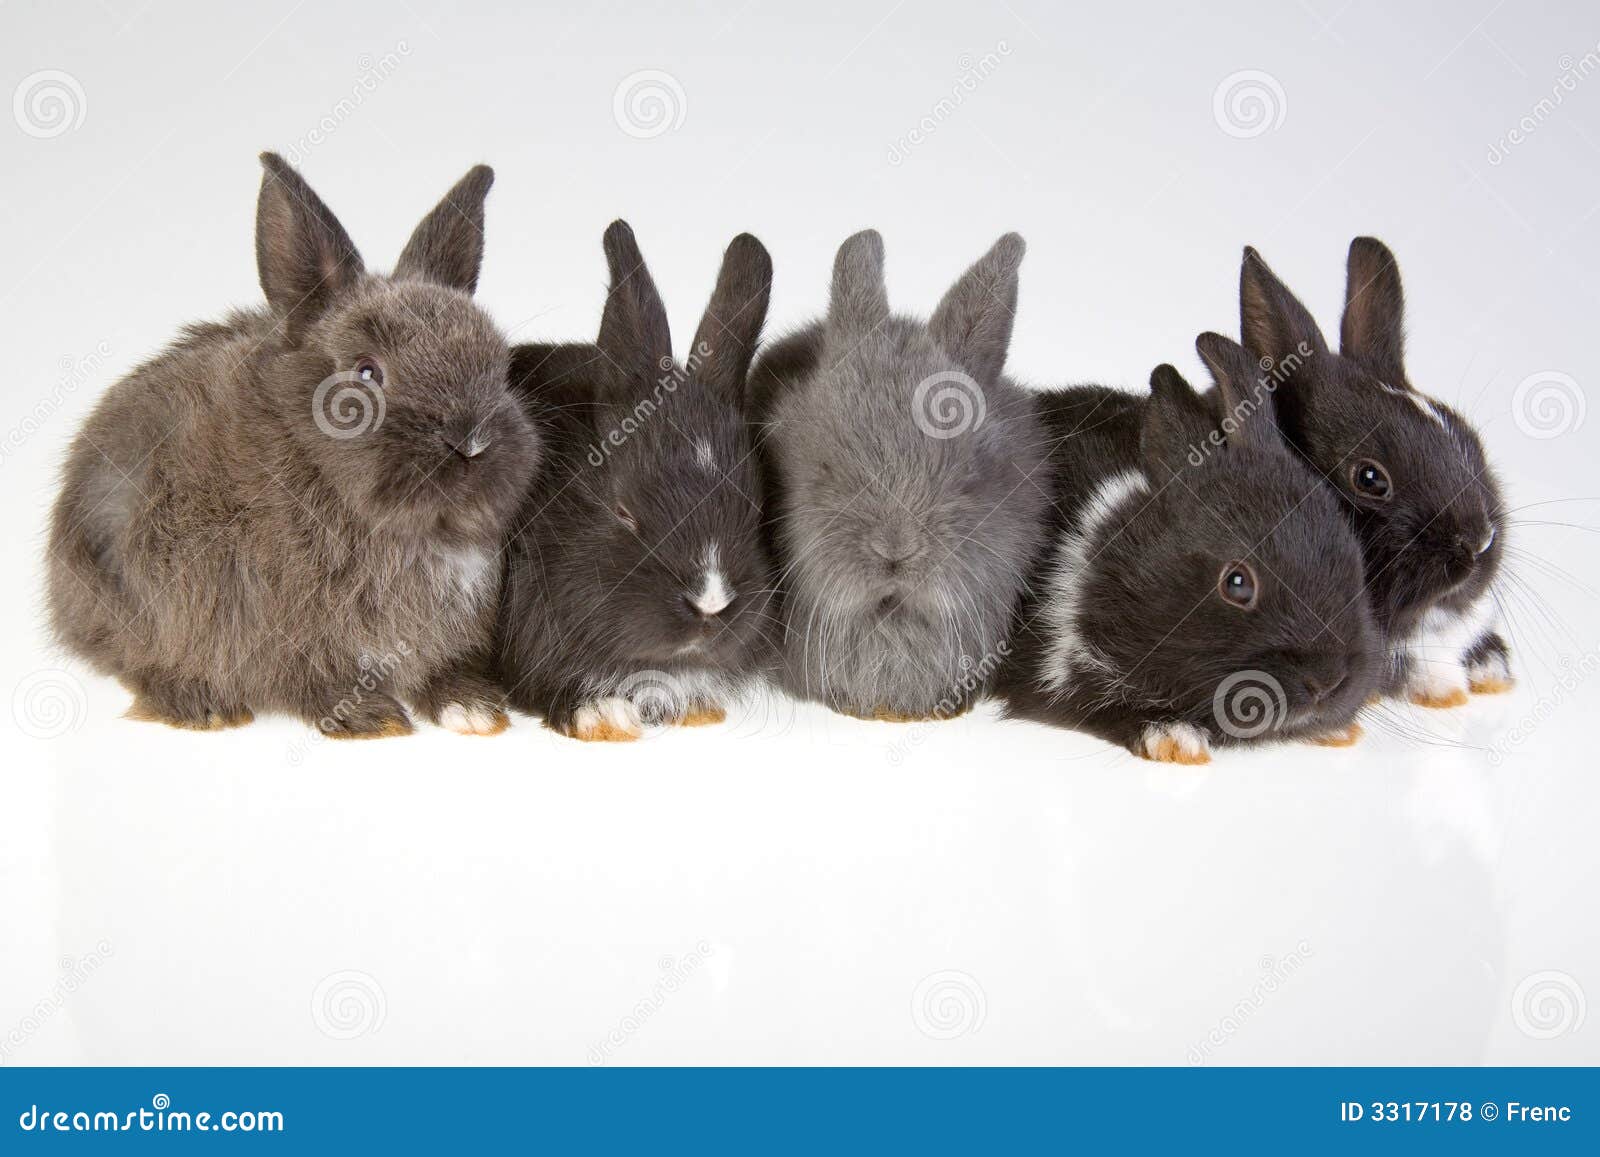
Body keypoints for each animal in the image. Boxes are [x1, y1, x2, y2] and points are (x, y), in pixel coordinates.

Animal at [45, 153, 541, 737]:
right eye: (366, 373)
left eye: (499, 365)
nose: (471, 441)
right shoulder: (270, 625)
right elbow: (309, 677)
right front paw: (370, 718)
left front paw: (473, 707)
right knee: (136, 658)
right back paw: (202, 706)